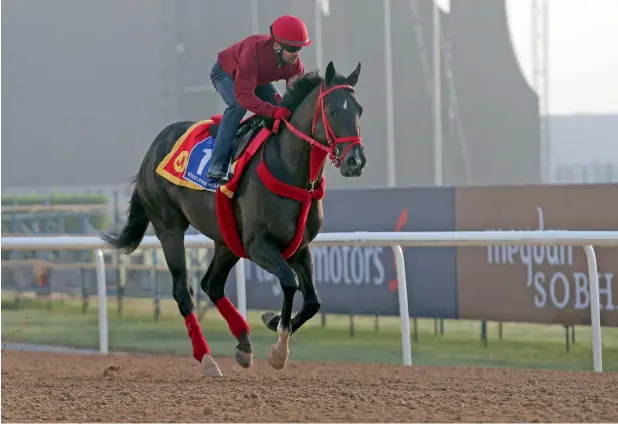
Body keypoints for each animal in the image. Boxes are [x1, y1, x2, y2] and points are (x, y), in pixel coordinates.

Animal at [103, 60, 364, 378]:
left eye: (359, 110)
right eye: (333, 110)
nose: (356, 161)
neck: (289, 168)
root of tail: (153, 149)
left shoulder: (299, 247)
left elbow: (313, 301)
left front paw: (272, 322)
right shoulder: (258, 244)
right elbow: (289, 282)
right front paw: (279, 350)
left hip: (226, 239)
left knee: (212, 284)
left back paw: (243, 343)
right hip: (169, 229)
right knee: (183, 292)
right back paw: (207, 359)